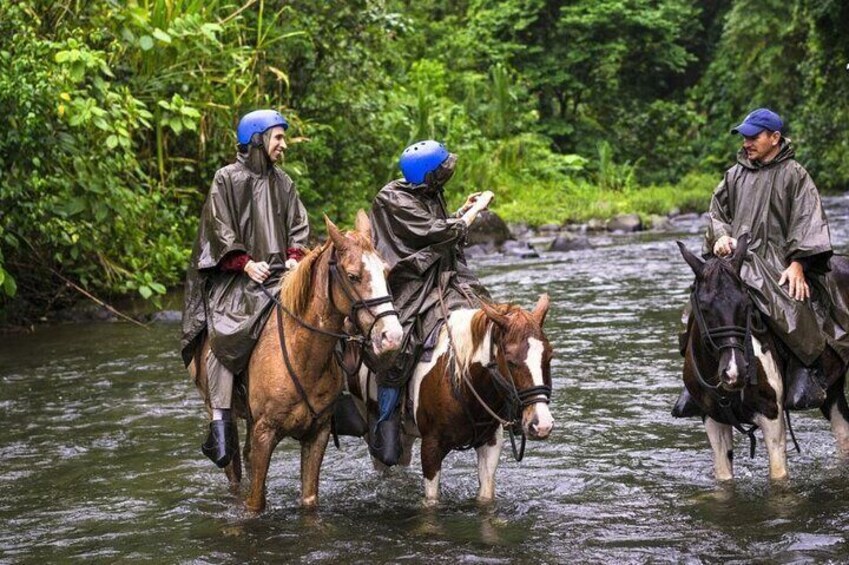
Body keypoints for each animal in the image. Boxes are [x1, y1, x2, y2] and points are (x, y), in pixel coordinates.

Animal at [190, 212, 402, 512]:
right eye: (353, 276)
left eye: (386, 272)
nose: (392, 336)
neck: (302, 355)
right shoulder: (265, 433)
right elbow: (255, 503)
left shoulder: (317, 433)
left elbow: (309, 500)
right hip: (217, 408)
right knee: (232, 465)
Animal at [348, 296, 552, 502]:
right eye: (510, 361)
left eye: (549, 356)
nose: (542, 425)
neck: (463, 384)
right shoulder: (431, 448)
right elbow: (432, 500)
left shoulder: (491, 443)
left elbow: (485, 496)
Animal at [680, 235, 849, 480]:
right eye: (703, 307)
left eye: (745, 303)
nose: (735, 373)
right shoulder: (713, 420)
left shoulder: (772, 417)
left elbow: (778, 476)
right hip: (832, 389)